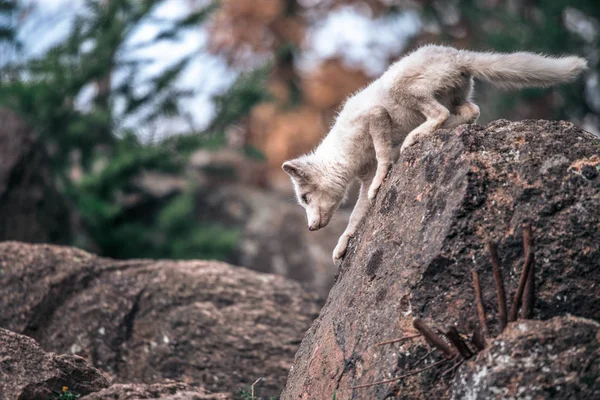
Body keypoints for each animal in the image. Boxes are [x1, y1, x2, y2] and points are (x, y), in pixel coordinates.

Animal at [284, 44, 588, 262]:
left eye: (305, 197)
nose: (310, 228)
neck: (344, 154)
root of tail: (456, 55)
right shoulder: (364, 176)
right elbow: (356, 216)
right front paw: (341, 246)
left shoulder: (376, 117)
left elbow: (382, 155)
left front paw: (385, 171)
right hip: (456, 97)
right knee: (469, 112)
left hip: (406, 89)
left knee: (441, 113)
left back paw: (412, 138)